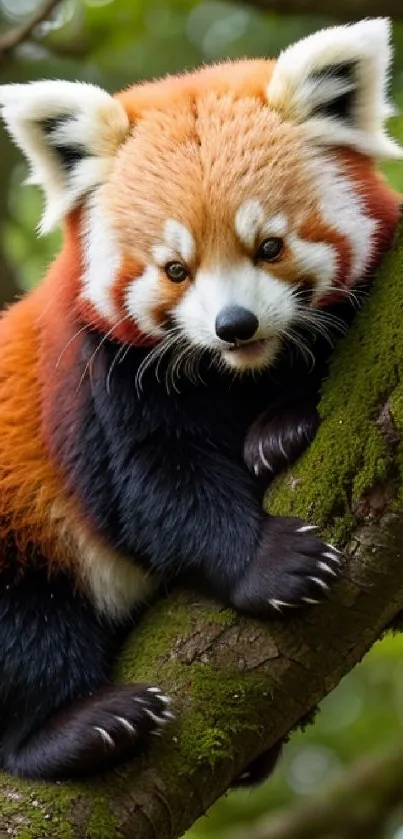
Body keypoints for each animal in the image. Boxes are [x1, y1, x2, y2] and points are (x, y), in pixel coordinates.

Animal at [0, 18, 400, 780]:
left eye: (269, 246)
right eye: (175, 269)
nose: (233, 324)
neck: (242, 372)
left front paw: (276, 430)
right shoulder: (100, 375)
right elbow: (153, 488)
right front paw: (272, 564)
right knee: (27, 630)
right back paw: (74, 730)